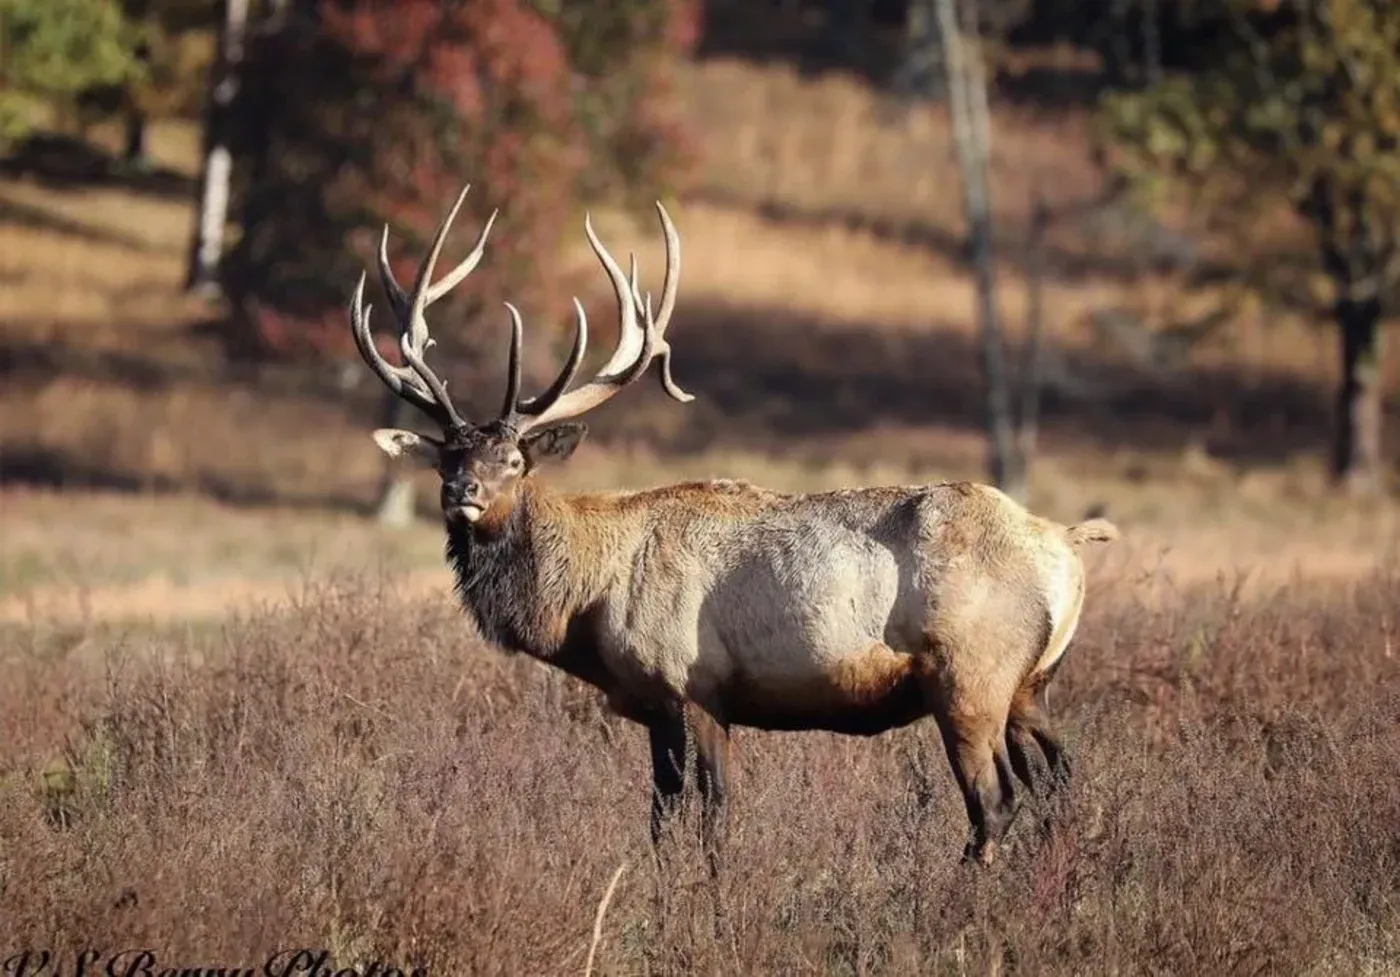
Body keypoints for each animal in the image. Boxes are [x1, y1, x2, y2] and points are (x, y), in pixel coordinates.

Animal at [349, 183, 1121, 866]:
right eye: (447, 454)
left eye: (513, 459)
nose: (462, 492)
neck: (587, 606)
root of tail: (1066, 547)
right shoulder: (662, 704)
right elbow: (665, 818)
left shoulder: (693, 684)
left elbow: (708, 817)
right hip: (1029, 684)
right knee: (1059, 782)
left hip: (969, 678)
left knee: (995, 801)